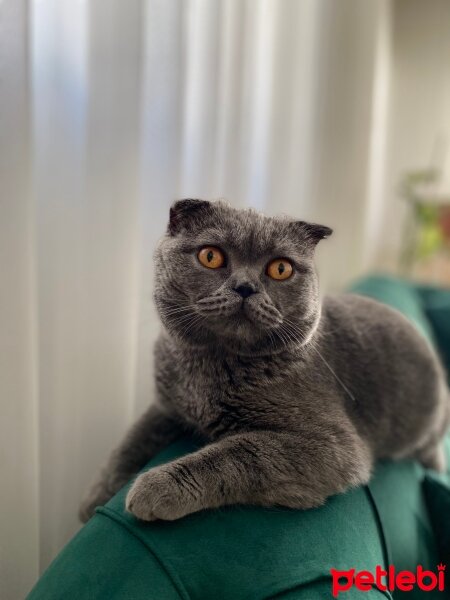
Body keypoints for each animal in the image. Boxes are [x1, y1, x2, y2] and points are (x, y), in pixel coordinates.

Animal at [79, 199, 448, 524]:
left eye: (281, 268)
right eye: (211, 256)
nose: (245, 287)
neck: (206, 371)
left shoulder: (332, 445)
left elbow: (239, 453)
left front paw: (155, 488)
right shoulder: (167, 406)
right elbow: (131, 442)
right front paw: (93, 498)